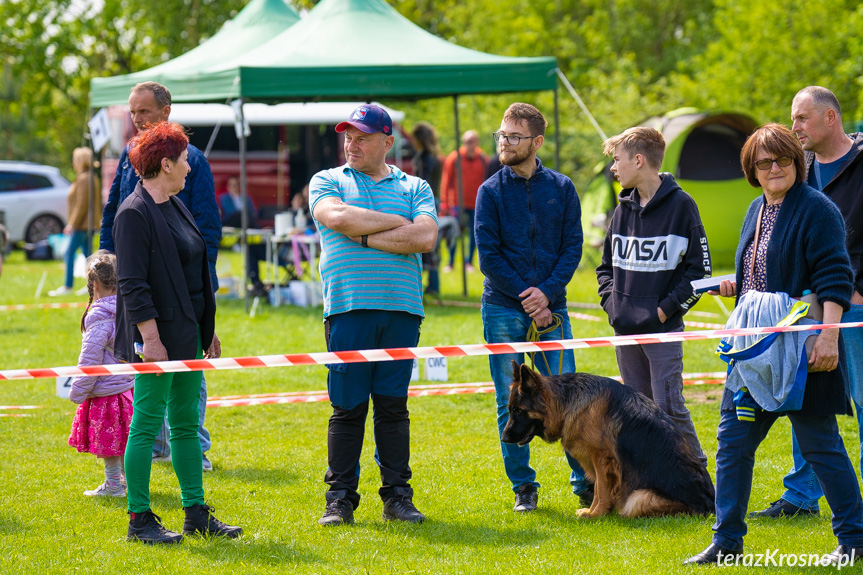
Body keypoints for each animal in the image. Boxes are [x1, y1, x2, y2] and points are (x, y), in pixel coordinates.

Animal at [500, 362, 716, 520]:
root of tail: (710, 506)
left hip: (638, 497)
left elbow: (601, 489)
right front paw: (593, 511)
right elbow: (597, 488)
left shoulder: (602, 459)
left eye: (518, 411)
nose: (503, 438)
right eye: (510, 410)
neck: (566, 402)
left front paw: (596, 513)